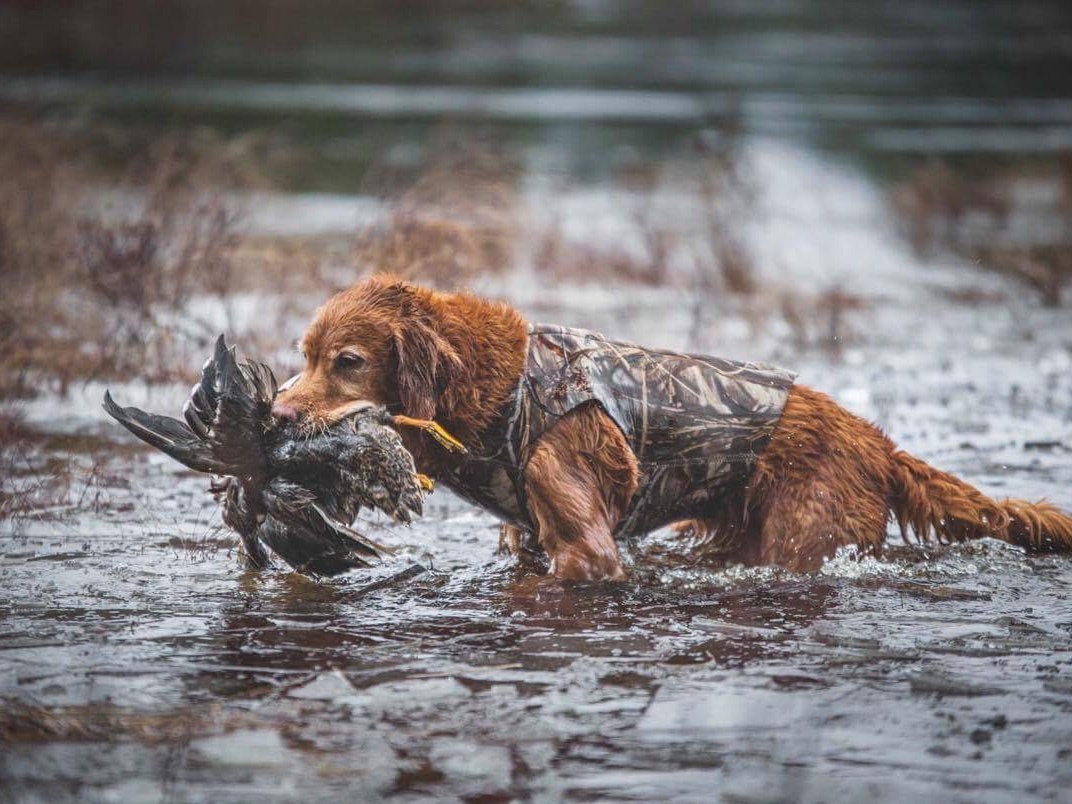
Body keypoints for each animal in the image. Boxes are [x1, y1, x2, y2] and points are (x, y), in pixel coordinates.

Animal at [274, 276, 1072, 578]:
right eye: (302, 356)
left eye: (347, 362)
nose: (276, 414)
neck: (499, 390)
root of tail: (875, 440)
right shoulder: (530, 537)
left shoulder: (586, 546)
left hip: (805, 535)